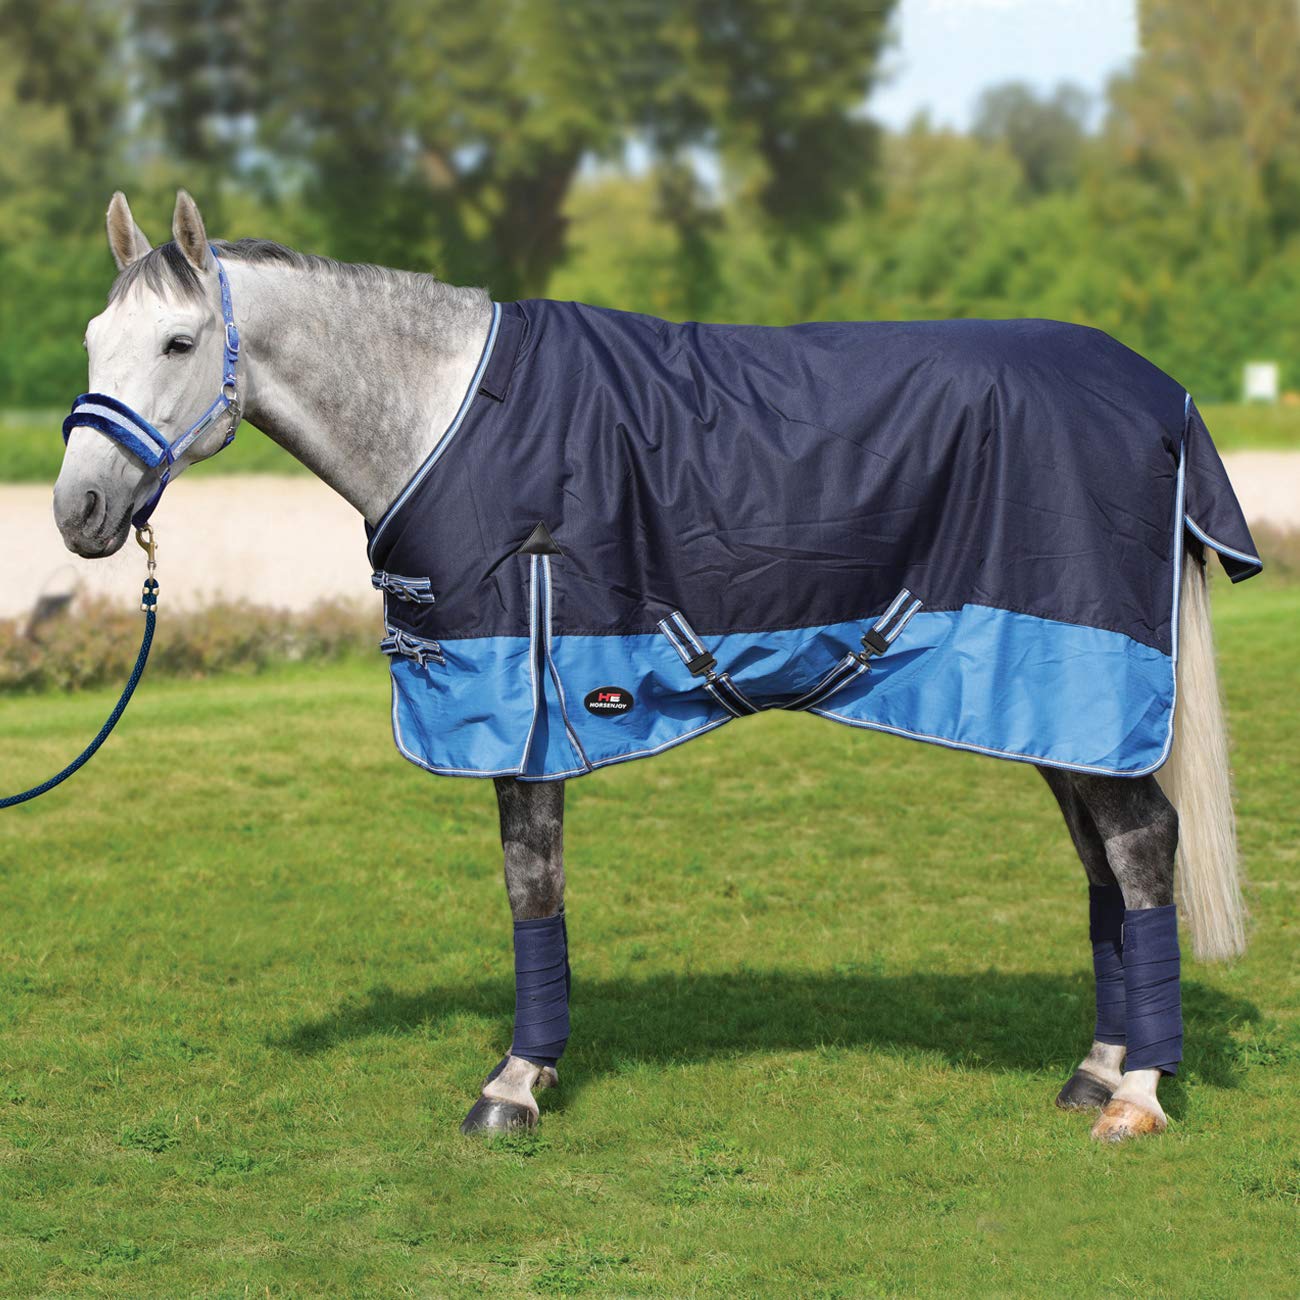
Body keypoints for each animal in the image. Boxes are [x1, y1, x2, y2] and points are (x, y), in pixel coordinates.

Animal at [52, 190, 1260, 1144]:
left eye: (177, 344)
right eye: (91, 338)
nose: (79, 511)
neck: (449, 416)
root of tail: (1164, 400)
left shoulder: (525, 700)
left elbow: (530, 883)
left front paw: (514, 1085)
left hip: (1085, 682)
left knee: (1141, 846)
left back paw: (1139, 1094)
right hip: (1053, 702)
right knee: (1104, 860)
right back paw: (1097, 1067)